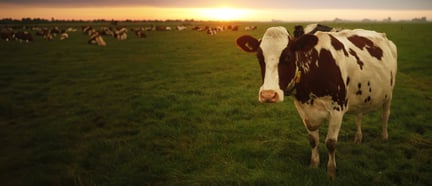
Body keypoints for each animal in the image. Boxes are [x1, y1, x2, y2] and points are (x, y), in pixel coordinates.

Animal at [236, 25, 398, 178]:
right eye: (259, 57)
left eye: (287, 56)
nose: (268, 95)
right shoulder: (303, 109)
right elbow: (313, 140)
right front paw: (314, 164)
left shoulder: (338, 109)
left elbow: (331, 143)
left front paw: (331, 171)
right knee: (359, 114)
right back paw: (358, 138)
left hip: (389, 94)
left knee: (385, 115)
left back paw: (384, 137)